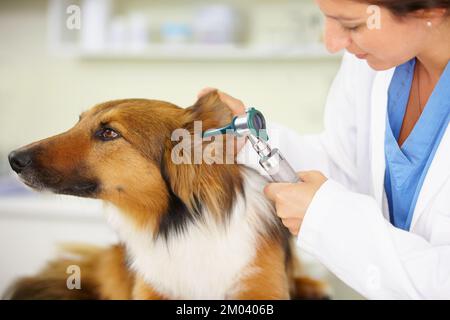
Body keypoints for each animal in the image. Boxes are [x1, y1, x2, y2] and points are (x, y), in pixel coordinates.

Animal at [4, 90, 326, 300]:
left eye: (109, 133)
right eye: (78, 121)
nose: (13, 159)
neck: (184, 227)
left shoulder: (259, 284)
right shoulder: (151, 288)